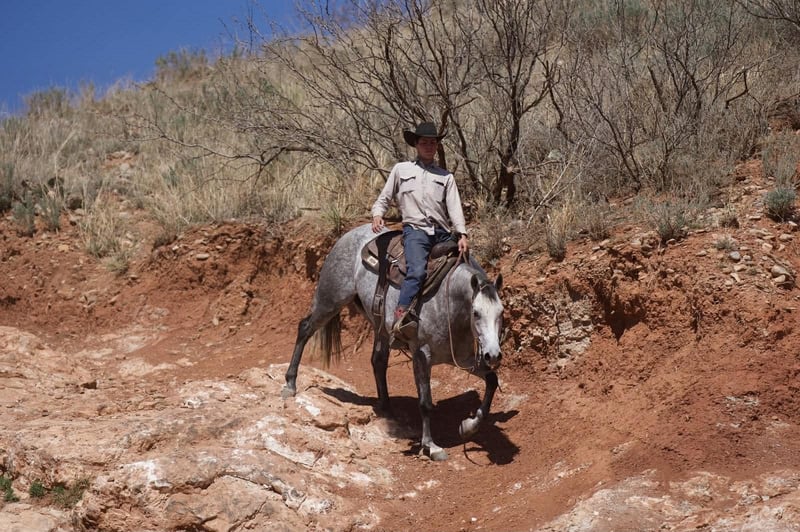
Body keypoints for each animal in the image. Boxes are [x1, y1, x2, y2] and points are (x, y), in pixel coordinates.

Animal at [282, 223, 504, 461]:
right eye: (476, 313)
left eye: (501, 312)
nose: (493, 354)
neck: (449, 302)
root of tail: (351, 233)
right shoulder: (422, 355)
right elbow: (425, 403)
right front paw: (431, 446)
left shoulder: (463, 358)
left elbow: (492, 381)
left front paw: (468, 427)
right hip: (330, 299)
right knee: (304, 329)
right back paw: (290, 384)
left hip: (379, 325)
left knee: (377, 360)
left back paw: (386, 408)